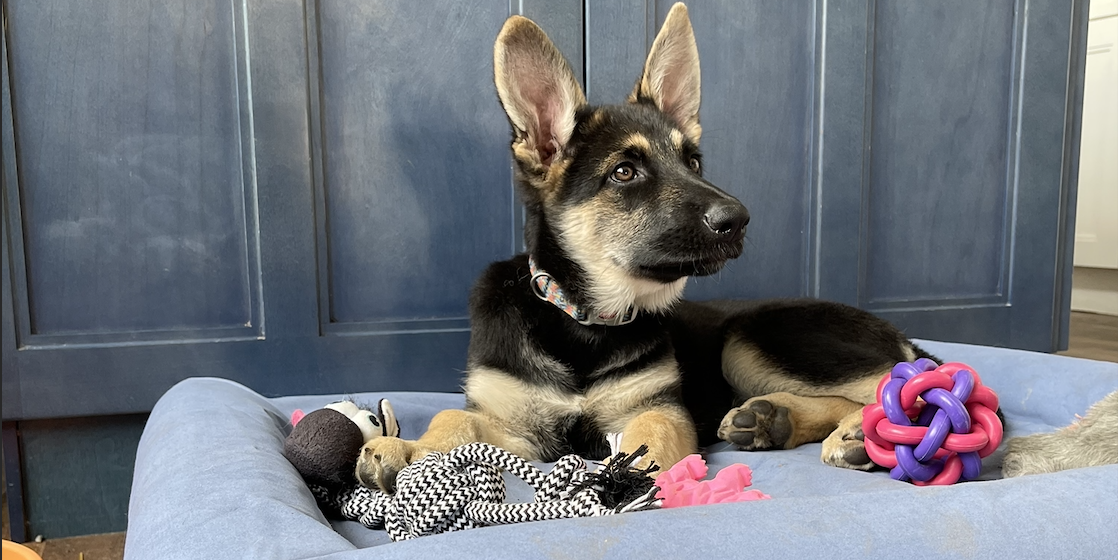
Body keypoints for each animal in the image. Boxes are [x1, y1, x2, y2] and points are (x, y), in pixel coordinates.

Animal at [357, 2, 934, 491]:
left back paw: (861, 431)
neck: (583, 321)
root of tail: (897, 333)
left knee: (909, 378)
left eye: (694, 162)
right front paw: (406, 449)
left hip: (753, 335)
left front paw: (630, 477)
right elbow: (453, 415)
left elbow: (649, 432)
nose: (740, 220)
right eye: (624, 172)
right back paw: (775, 419)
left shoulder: (656, 406)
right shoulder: (517, 425)